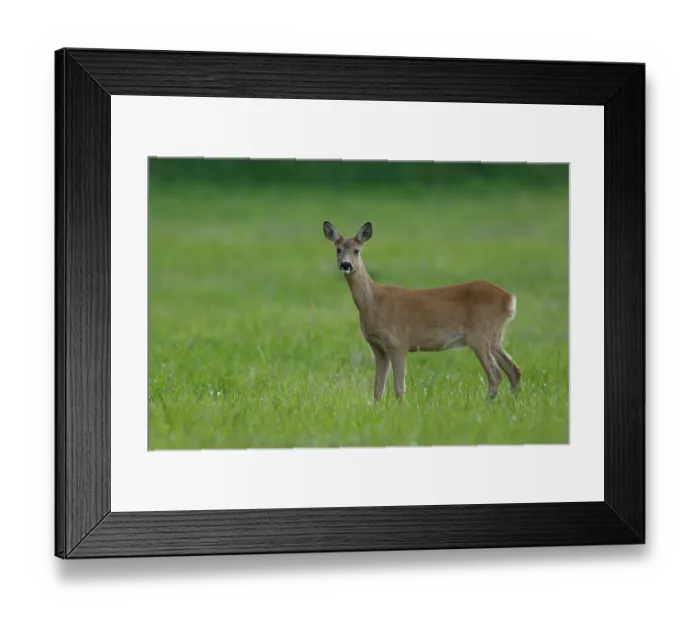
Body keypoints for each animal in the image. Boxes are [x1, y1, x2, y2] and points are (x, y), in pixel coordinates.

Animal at [323, 220, 522, 403]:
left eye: (357, 250)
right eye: (338, 249)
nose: (346, 265)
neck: (373, 302)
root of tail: (509, 298)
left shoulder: (398, 342)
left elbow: (399, 388)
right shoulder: (377, 347)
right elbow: (378, 389)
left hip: (479, 334)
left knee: (496, 375)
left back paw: (488, 405)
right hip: (494, 337)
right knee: (514, 370)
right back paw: (514, 404)